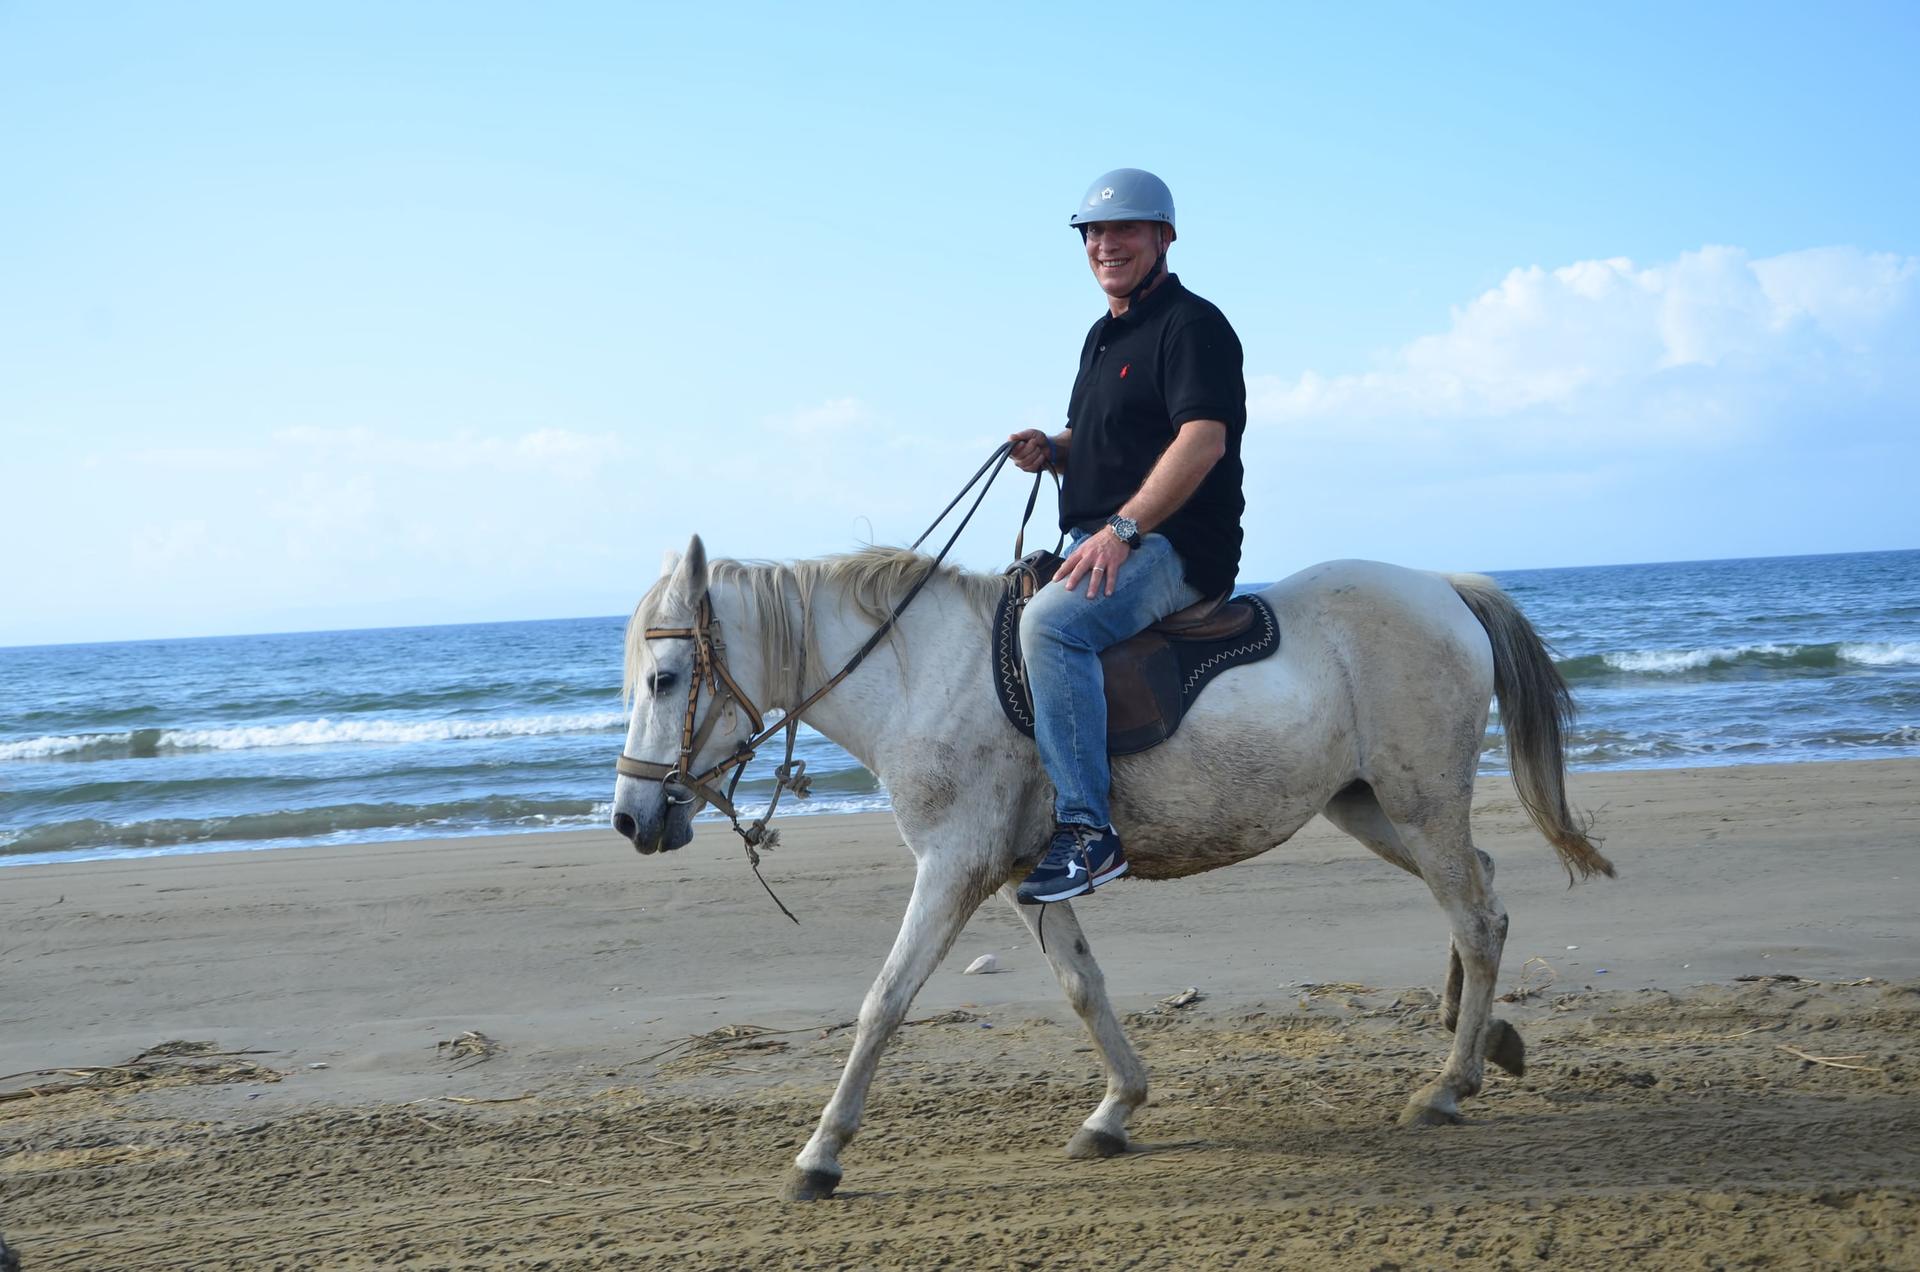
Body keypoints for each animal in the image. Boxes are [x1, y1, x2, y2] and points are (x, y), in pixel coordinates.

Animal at [610, 535, 1613, 1201]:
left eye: (664, 680)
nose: (629, 818)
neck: (924, 674)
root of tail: (1445, 588)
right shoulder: (1027, 876)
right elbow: (1083, 988)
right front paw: (1116, 1110)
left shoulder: (952, 868)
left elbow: (884, 1001)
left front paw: (820, 1156)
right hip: (1372, 806)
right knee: (1482, 890)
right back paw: (1485, 1039)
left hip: (1416, 803)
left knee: (1475, 917)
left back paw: (1447, 1086)